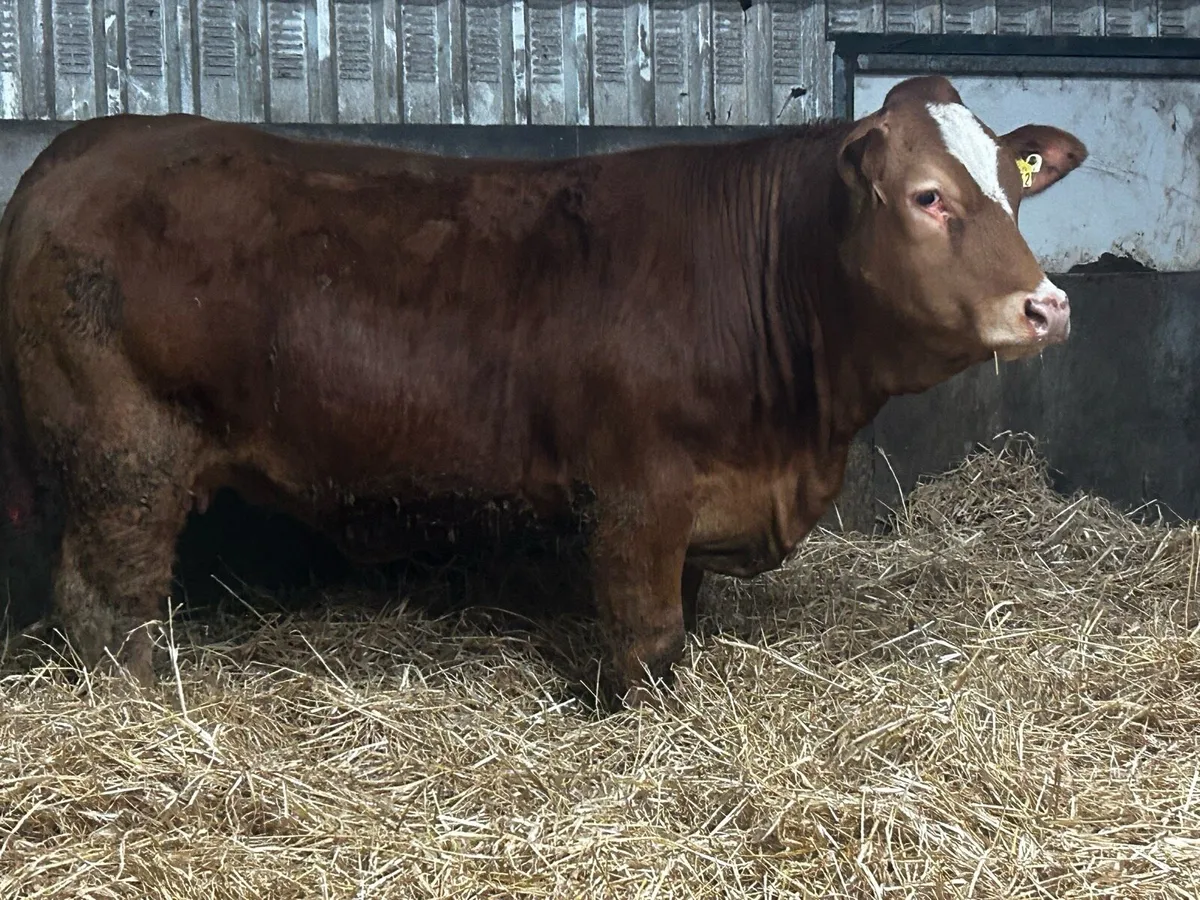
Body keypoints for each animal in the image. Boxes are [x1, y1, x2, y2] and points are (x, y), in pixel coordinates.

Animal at [0, 75, 1085, 706]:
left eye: (1015, 185)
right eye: (928, 196)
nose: (1047, 306)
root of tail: (74, 151)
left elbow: (681, 622)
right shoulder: (638, 496)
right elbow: (647, 638)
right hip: (124, 455)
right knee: (108, 603)